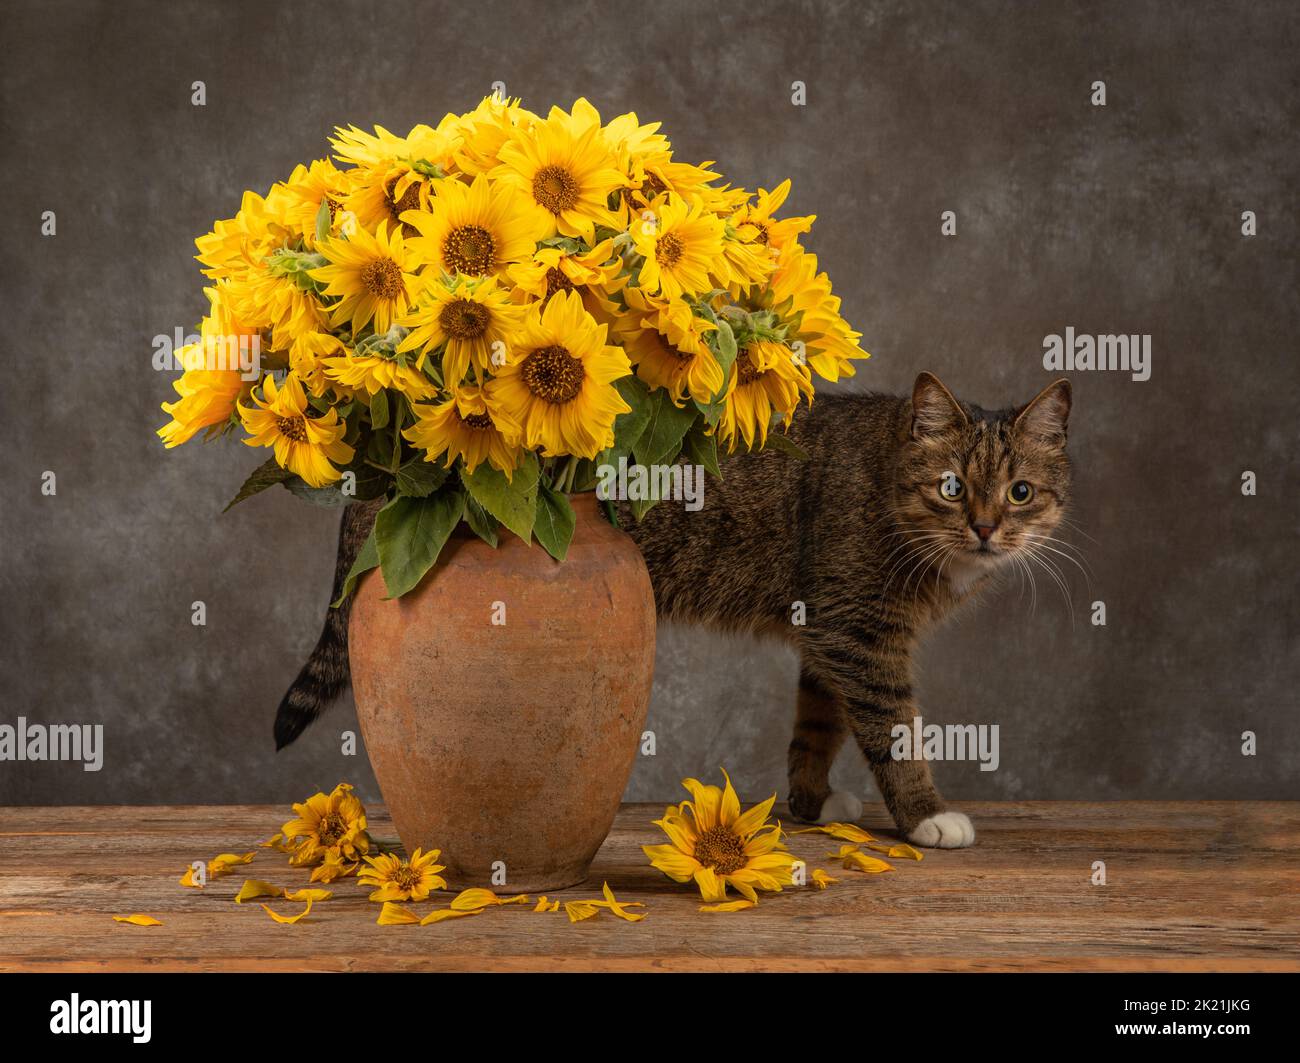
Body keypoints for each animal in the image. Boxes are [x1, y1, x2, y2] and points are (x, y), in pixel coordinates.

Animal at [271, 371, 1066, 847]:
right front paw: (927, 815)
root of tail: (392, 469)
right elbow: (893, 731)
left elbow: (818, 723)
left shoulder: (828, 632)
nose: (987, 528)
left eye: (1020, 492)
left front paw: (810, 801)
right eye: (953, 487)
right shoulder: (860, 635)